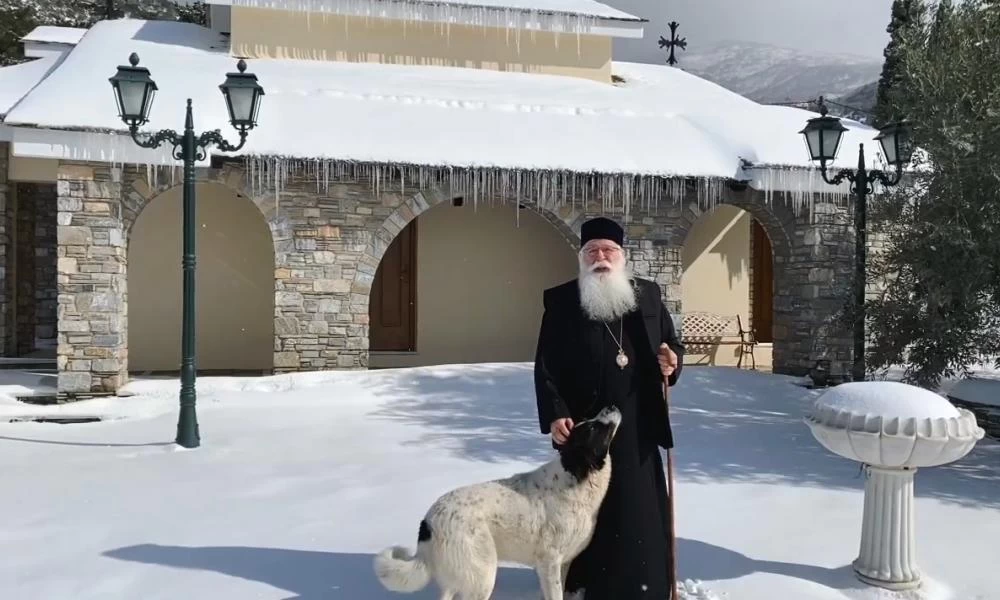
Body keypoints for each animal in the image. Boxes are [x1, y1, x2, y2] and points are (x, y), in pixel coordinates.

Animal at [372, 406, 620, 596]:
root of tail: (429, 521)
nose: (611, 406)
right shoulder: (549, 562)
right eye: (592, 427)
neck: (578, 478)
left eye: (589, 421)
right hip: (483, 574)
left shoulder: (562, 563)